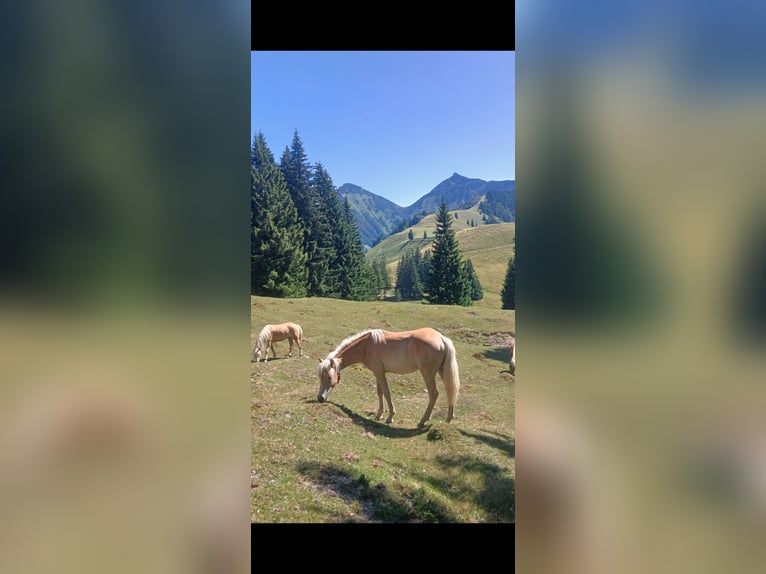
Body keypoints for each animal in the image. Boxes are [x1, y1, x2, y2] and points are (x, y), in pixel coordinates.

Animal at [317, 328, 460, 428]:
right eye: (320, 377)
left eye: (329, 377)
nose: (320, 398)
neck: (367, 345)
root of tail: (441, 338)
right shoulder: (378, 372)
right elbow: (379, 393)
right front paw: (379, 415)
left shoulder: (379, 373)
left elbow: (386, 393)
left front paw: (390, 417)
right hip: (441, 371)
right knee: (450, 391)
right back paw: (448, 419)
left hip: (427, 373)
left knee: (434, 394)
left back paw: (422, 421)